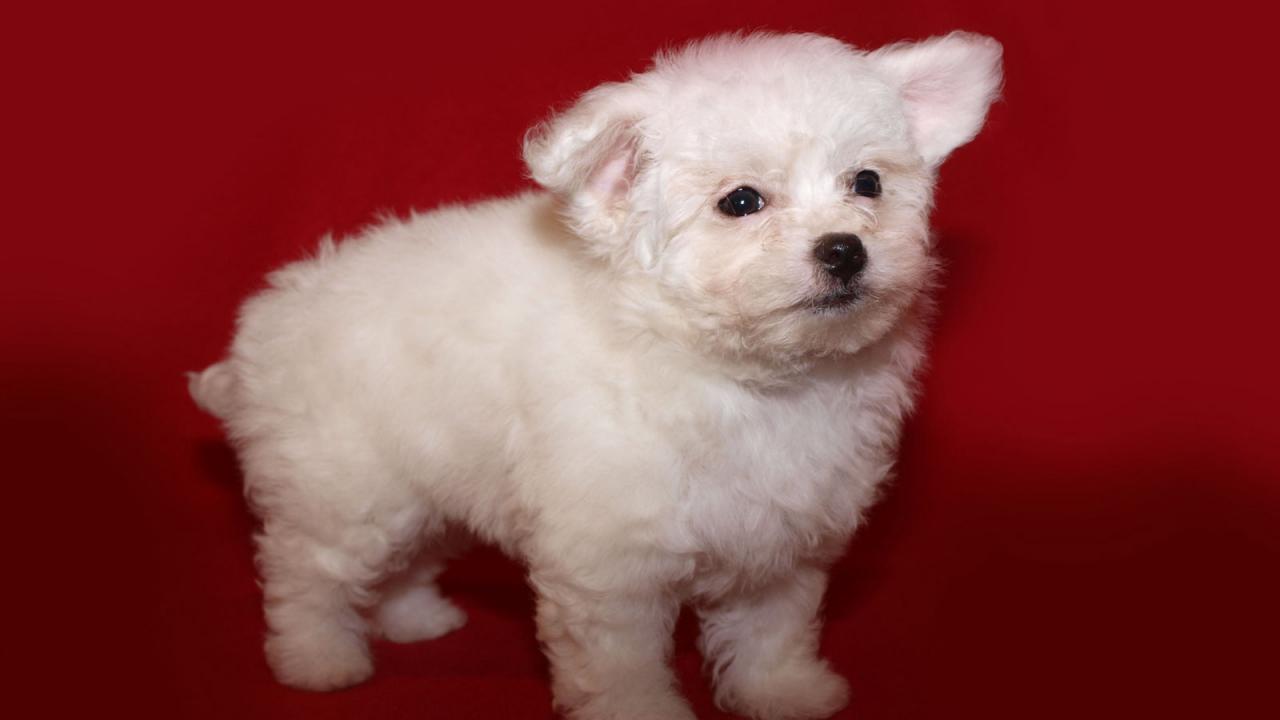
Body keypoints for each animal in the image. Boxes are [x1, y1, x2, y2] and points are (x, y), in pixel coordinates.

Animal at [189, 31, 1002, 720]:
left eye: (867, 183)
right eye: (740, 202)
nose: (843, 250)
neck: (739, 372)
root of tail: (265, 327)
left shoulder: (781, 538)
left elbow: (773, 628)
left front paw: (786, 693)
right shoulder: (610, 564)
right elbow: (621, 666)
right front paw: (642, 712)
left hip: (425, 481)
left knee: (406, 559)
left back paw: (416, 619)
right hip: (346, 489)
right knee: (306, 571)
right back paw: (317, 658)